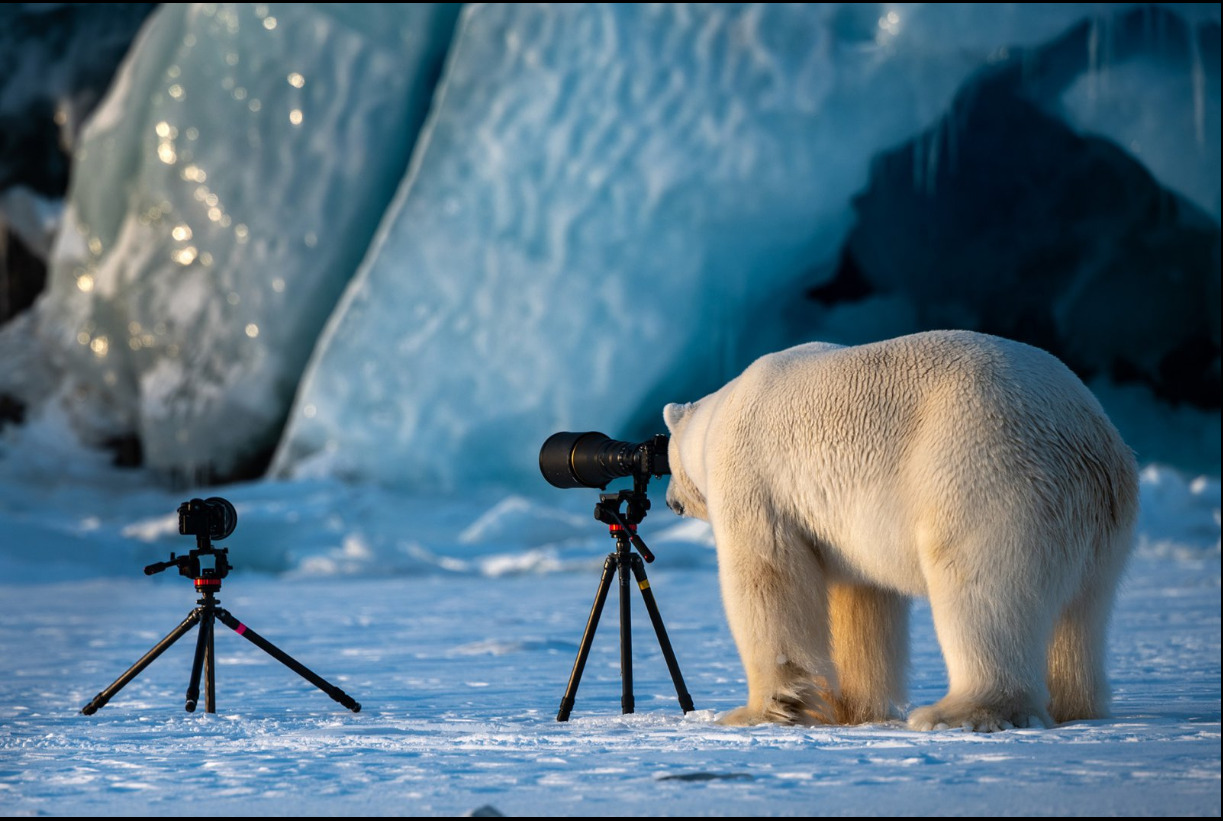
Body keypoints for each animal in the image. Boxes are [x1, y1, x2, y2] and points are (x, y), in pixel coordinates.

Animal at [665, 330, 1139, 734]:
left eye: (666, 460)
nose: (670, 501)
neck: (718, 416)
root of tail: (1087, 437)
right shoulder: (845, 526)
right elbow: (862, 601)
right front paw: (851, 710)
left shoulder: (754, 480)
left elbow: (768, 579)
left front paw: (758, 712)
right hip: (1100, 525)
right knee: (1083, 613)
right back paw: (1076, 706)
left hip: (987, 476)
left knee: (982, 593)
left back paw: (956, 713)